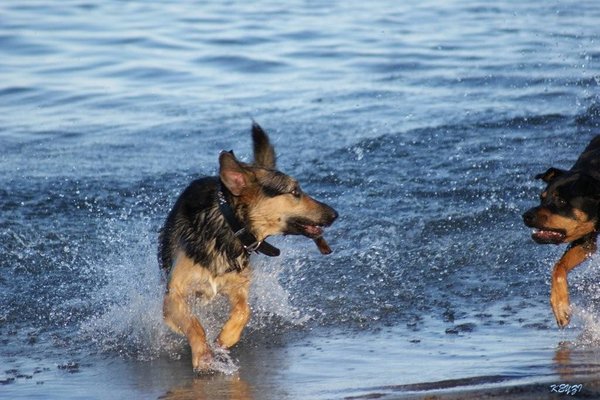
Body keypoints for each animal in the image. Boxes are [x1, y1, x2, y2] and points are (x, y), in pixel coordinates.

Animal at [158, 122, 338, 372]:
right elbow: (194, 324)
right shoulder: (174, 295)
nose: (335, 214)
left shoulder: (238, 286)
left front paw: (225, 338)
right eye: (295, 192)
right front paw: (203, 355)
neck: (229, 229)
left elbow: (244, 310)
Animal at [520, 136, 600, 326]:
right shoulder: (585, 239)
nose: (526, 216)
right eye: (541, 198)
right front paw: (560, 305)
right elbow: (558, 266)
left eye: (561, 201)